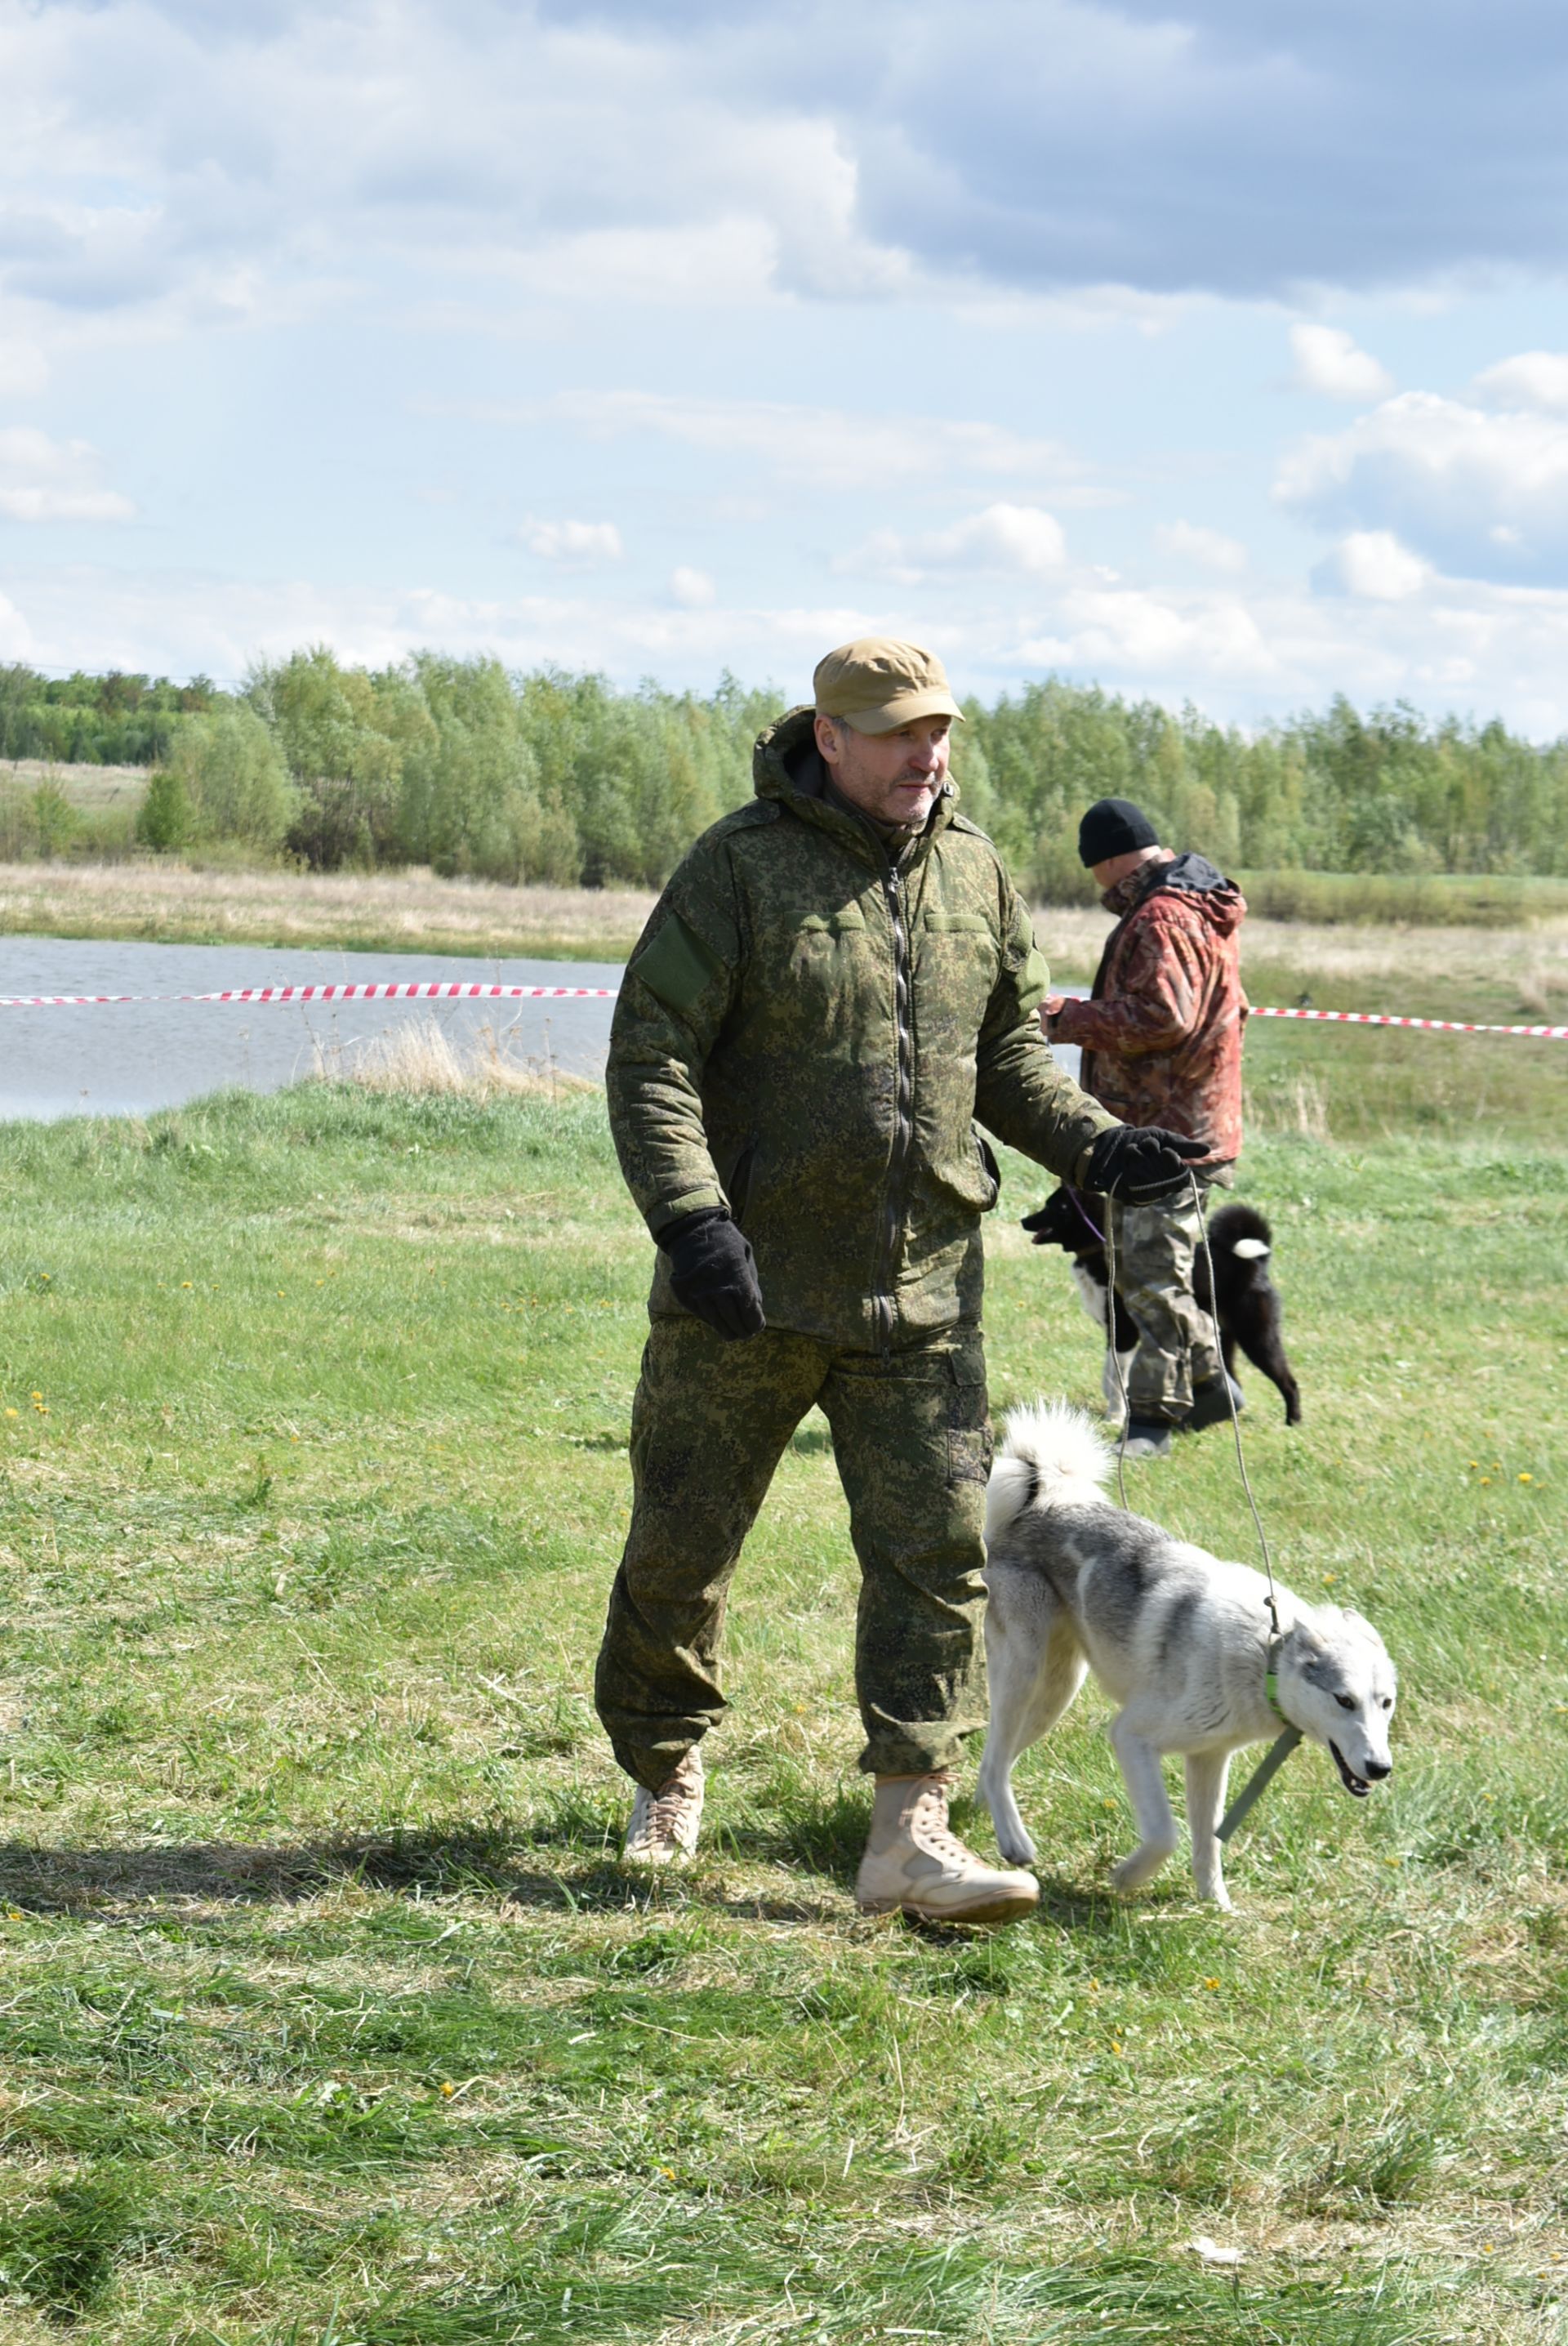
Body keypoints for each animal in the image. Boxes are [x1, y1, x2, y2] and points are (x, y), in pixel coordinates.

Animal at [979, 1398, 1396, 1895]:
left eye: (1386, 1703)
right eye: (1343, 1700)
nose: (1381, 1768)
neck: (1265, 1659)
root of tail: (1040, 1500)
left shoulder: (1209, 1758)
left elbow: (1207, 1844)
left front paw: (1215, 1904)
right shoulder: (1131, 1736)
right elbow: (1166, 1834)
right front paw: (1127, 1876)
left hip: (1056, 1693)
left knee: (995, 1760)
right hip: (1025, 1675)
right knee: (995, 1761)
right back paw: (1014, 1842)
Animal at [1022, 1182, 1303, 1416]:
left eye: (1051, 1207)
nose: (1024, 1220)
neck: (1102, 1248)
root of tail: (1256, 1262)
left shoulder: (1125, 1333)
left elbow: (1116, 1377)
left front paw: (1115, 1416)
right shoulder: (1114, 1333)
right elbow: (1108, 1373)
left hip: (1257, 1337)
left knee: (1288, 1381)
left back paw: (1293, 1420)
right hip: (1225, 1337)